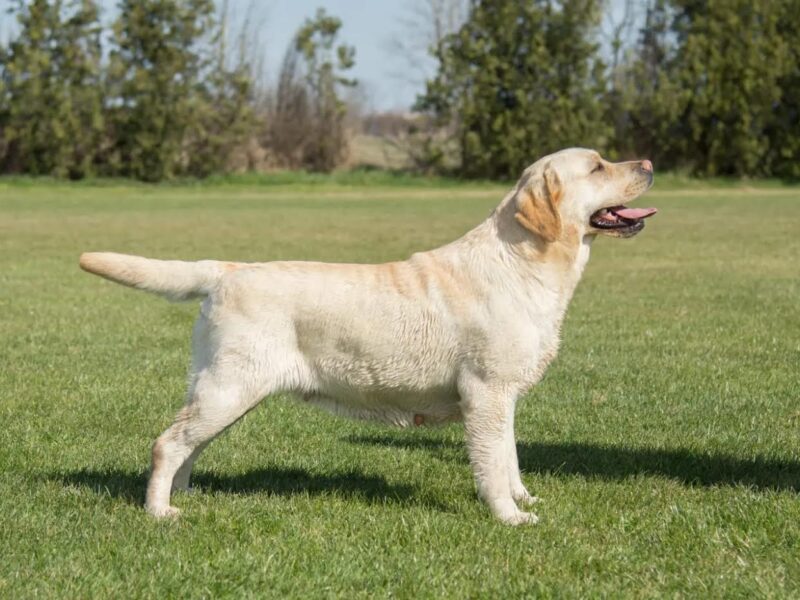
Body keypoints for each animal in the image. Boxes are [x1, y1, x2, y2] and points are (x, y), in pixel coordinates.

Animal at [79, 148, 656, 524]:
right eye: (598, 166)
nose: (648, 165)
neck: (524, 262)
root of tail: (229, 270)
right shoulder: (486, 392)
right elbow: (492, 464)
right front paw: (510, 517)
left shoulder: (504, 397)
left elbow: (510, 457)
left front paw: (525, 499)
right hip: (231, 387)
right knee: (166, 444)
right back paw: (159, 511)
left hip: (220, 389)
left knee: (188, 446)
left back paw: (186, 496)